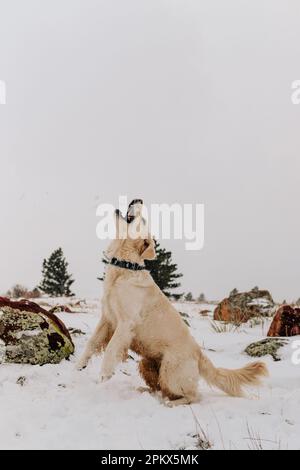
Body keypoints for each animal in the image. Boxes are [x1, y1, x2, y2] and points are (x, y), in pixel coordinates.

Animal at [77, 198, 268, 404]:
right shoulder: (107, 319)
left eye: (143, 220)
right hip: (147, 363)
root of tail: (199, 354)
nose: (138, 199)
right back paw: (146, 391)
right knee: (161, 388)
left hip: (170, 368)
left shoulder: (125, 324)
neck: (125, 267)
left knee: (193, 395)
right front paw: (78, 367)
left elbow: (111, 350)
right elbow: (91, 344)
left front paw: (103, 378)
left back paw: (170, 403)